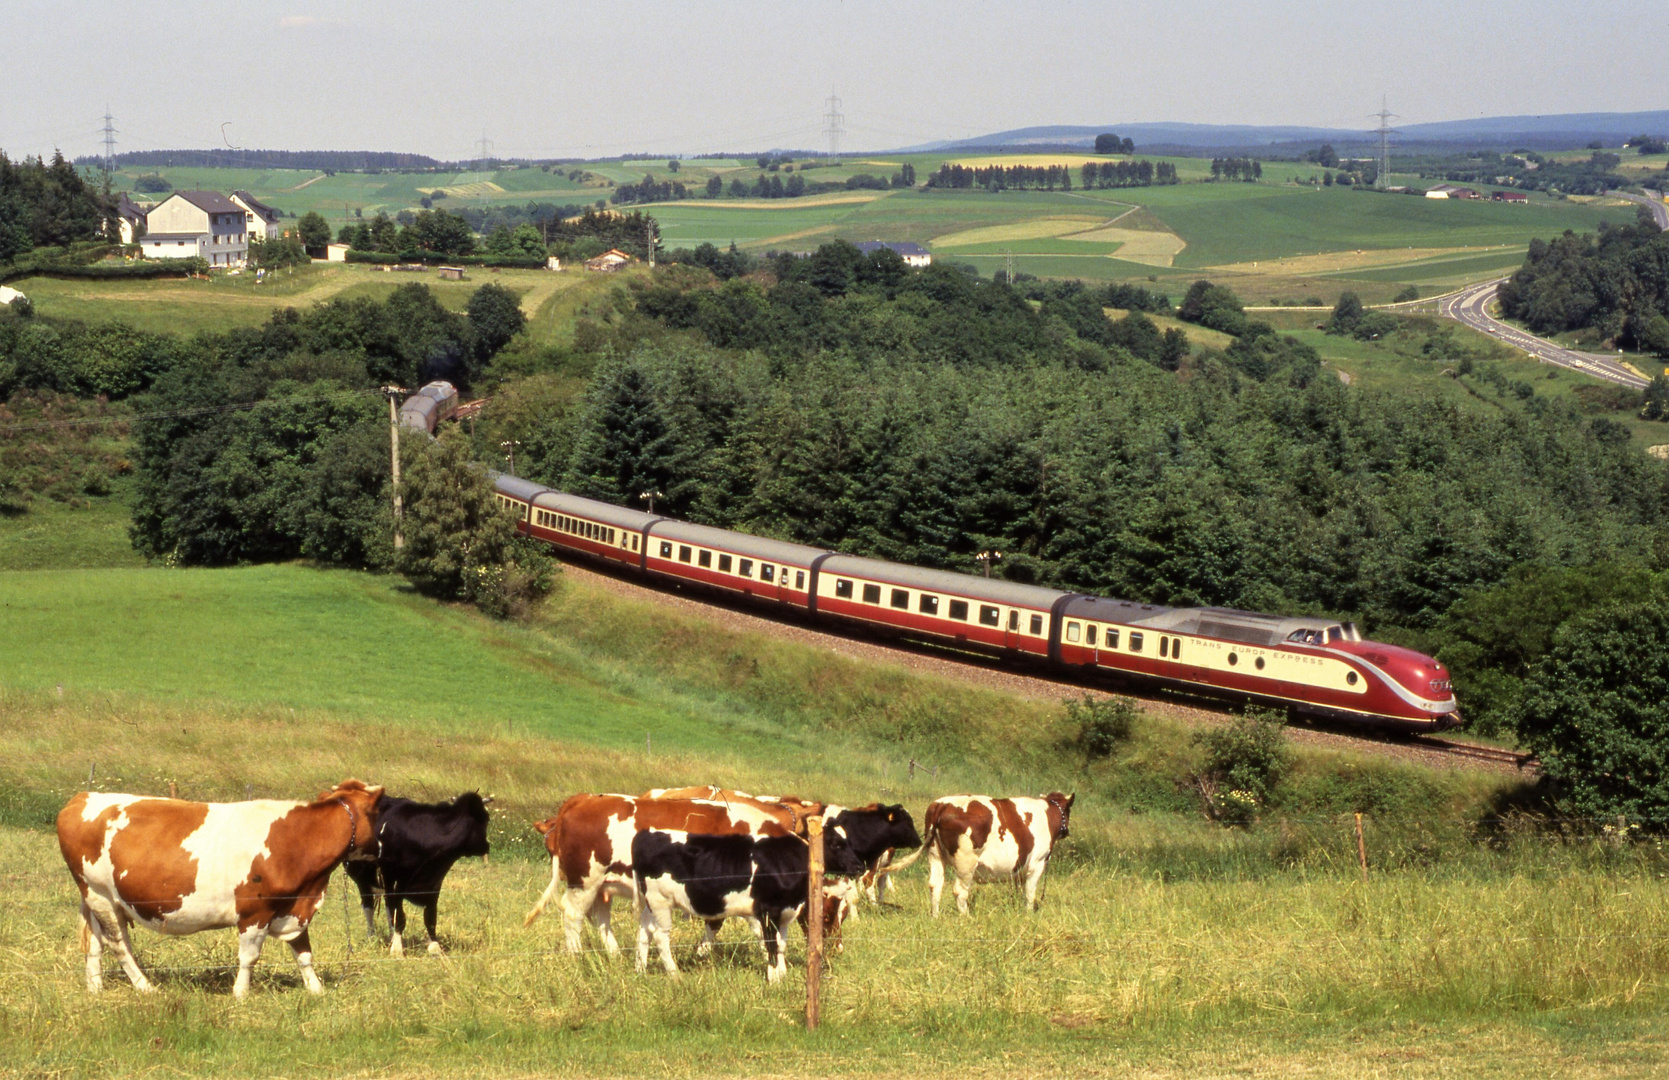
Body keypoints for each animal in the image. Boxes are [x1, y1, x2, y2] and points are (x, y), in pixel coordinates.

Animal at [53, 777, 385, 994]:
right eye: (377, 812)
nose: (381, 847)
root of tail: (82, 797)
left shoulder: (292, 906)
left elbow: (303, 952)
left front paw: (316, 990)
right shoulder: (255, 910)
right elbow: (249, 957)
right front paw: (240, 994)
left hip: (100, 900)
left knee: (95, 943)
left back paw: (95, 989)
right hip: (100, 895)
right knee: (119, 944)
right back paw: (146, 987)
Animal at [343, 791, 487, 961]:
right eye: (485, 819)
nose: (486, 846)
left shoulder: (434, 883)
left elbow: (430, 917)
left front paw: (435, 947)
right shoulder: (394, 880)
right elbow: (399, 917)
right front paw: (397, 950)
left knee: (388, 908)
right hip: (362, 876)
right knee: (369, 907)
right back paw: (372, 937)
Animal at [527, 794, 801, 954]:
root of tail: (583, 799)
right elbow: (744, 926)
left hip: (602, 886)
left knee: (599, 917)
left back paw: (615, 956)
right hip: (585, 881)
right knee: (573, 915)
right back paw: (576, 956)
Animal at [630, 824, 867, 981]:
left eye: (849, 842)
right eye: (836, 844)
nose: (859, 866)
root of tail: (645, 833)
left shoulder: (784, 912)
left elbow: (781, 945)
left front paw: (782, 974)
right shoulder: (768, 911)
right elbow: (770, 944)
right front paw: (774, 979)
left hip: (650, 905)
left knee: (644, 931)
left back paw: (640, 969)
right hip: (660, 902)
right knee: (660, 936)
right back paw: (674, 974)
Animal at [881, 791, 1074, 914]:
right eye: (1068, 810)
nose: (1066, 831)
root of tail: (941, 805)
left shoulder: (1019, 869)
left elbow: (1019, 890)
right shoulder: (1037, 863)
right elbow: (1030, 892)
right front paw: (1027, 914)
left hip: (935, 855)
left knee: (935, 885)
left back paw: (935, 917)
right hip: (966, 862)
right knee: (959, 891)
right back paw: (966, 918)